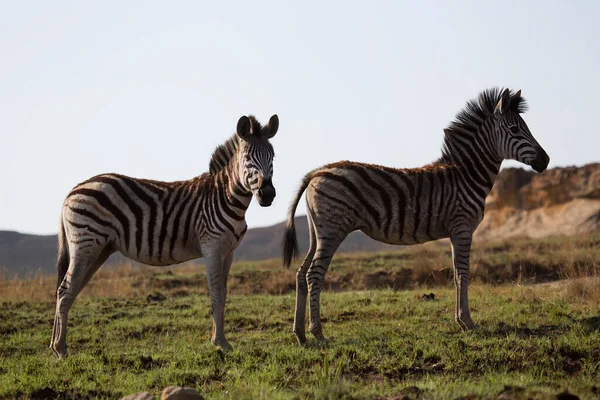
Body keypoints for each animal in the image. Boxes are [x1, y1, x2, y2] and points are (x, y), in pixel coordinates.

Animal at [50, 114, 280, 358]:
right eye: (247, 158)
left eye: (272, 157)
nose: (267, 194)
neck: (225, 196)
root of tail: (71, 192)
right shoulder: (211, 246)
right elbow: (216, 292)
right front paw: (219, 342)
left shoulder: (228, 252)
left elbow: (224, 293)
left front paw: (221, 341)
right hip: (85, 244)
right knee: (65, 290)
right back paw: (60, 349)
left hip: (98, 249)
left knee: (69, 289)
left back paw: (55, 346)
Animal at [284, 88, 552, 344]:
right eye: (515, 129)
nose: (546, 159)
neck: (466, 175)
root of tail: (317, 172)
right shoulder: (462, 227)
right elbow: (463, 274)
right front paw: (467, 322)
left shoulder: (456, 231)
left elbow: (456, 274)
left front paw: (460, 321)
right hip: (333, 230)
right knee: (314, 275)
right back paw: (318, 333)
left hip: (318, 232)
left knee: (300, 274)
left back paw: (300, 334)